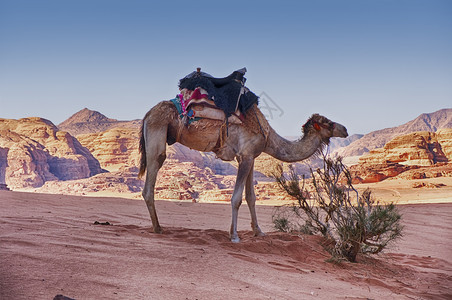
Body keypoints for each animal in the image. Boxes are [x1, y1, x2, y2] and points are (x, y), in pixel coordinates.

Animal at [139, 100, 348, 241]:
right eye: (329, 123)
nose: (345, 129)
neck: (269, 137)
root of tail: (148, 114)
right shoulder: (245, 156)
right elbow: (237, 198)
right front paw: (234, 235)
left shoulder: (250, 157)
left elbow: (251, 197)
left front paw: (258, 231)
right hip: (157, 132)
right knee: (153, 173)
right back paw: (158, 228)